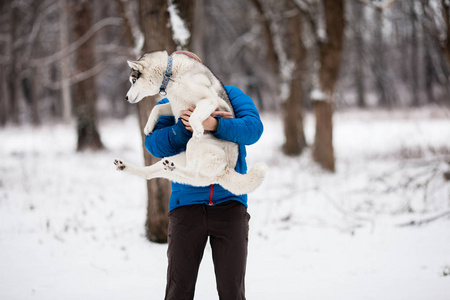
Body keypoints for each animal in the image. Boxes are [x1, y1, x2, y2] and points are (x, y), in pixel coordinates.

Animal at [114, 50, 266, 196]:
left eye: (133, 81)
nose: (126, 98)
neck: (171, 75)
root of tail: (225, 170)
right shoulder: (175, 106)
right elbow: (157, 108)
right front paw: (148, 126)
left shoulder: (209, 100)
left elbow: (193, 117)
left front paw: (197, 129)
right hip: (179, 159)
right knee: (150, 174)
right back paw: (126, 166)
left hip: (194, 146)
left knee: (192, 172)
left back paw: (172, 165)